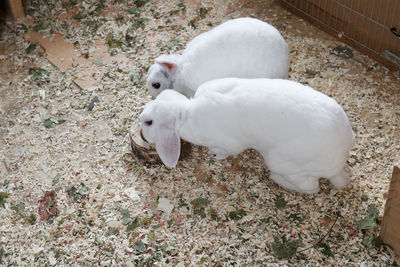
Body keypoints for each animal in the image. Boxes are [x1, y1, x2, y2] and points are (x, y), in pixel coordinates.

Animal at [139, 77, 354, 195]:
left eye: (149, 122)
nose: (140, 120)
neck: (186, 112)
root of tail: (337, 165)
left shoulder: (229, 143)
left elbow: (225, 151)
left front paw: (214, 155)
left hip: (283, 161)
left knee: (311, 187)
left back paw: (276, 178)